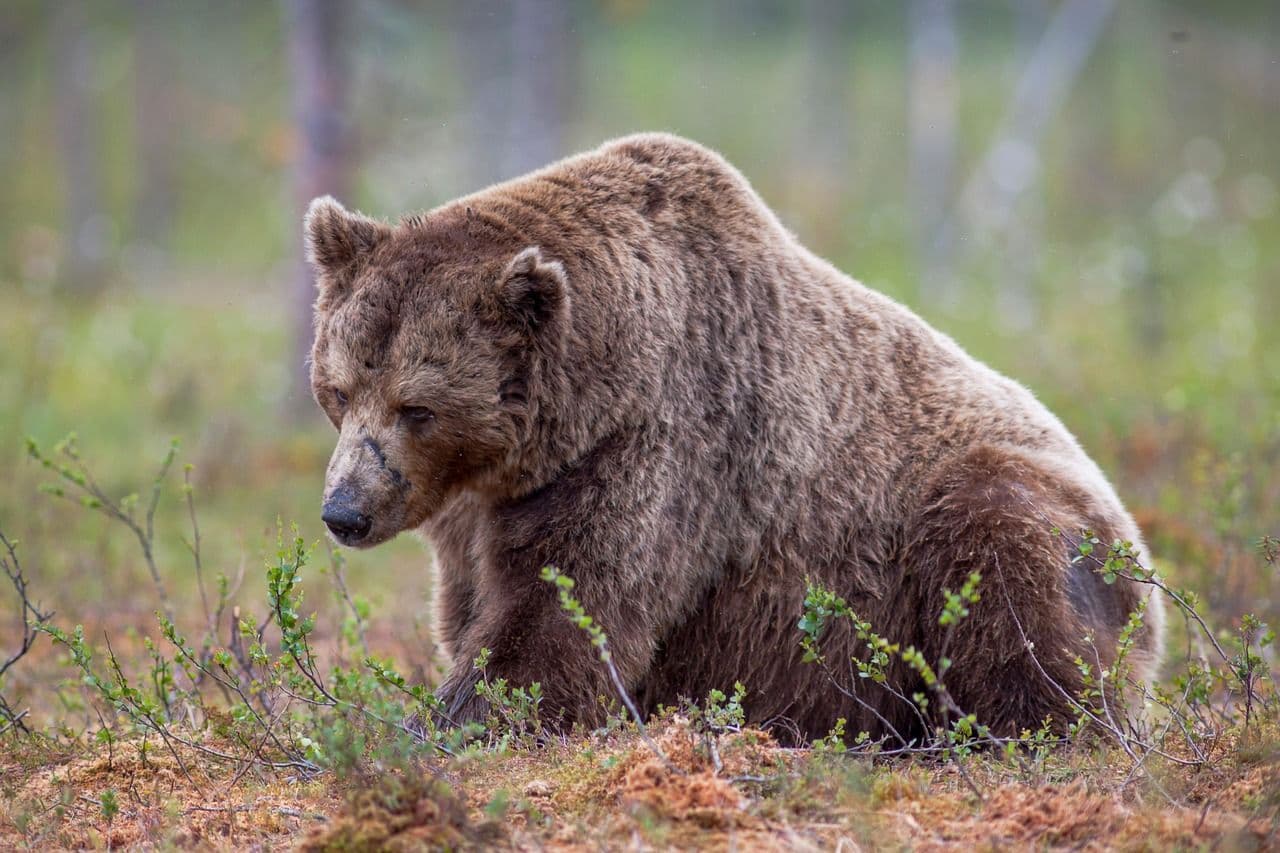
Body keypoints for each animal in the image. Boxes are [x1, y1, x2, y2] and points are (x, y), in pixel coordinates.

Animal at [303, 132, 1163, 744]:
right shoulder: (475, 504)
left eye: (416, 406)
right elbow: (480, 599)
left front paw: (445, 720)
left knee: (1008, 573)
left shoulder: (655, 445)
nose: (345, 512)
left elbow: (566, 611)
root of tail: (1146, 553)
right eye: (338, 389)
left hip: (1019, 524)